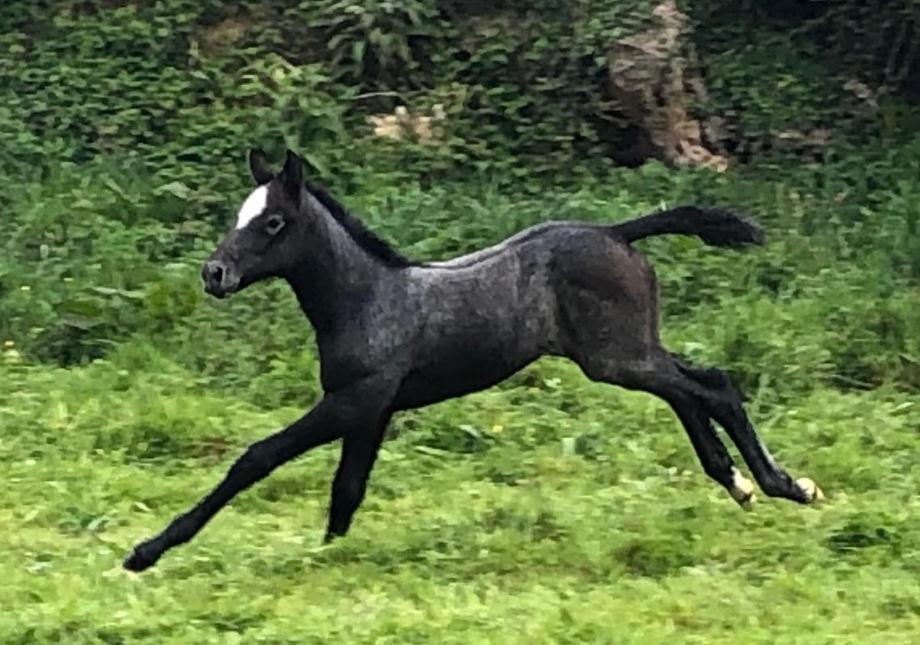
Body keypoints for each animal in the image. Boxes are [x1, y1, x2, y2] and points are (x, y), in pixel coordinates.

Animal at [122, 148, 820, 572]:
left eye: (272, 223)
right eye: (240, 215)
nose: (214, 273)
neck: (366, 299)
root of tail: (616, 232)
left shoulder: (352, 402)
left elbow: (256, 458)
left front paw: (146, 551)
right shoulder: (373, 413)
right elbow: (347, 491)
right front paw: (331, 562)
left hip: (616, 357)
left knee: (714, 386)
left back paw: (785, 485)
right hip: (625, 352)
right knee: (691, 386)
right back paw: (738, 483)